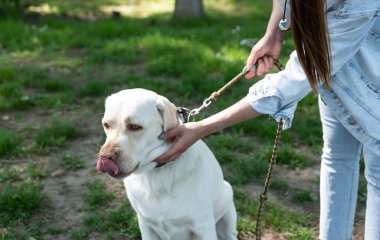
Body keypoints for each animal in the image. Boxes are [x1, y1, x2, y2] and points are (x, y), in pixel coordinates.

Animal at [96, 89, 236, 239]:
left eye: (135, 126)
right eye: (106, 125)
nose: (104, 158)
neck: (156, 175)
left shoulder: (204, 226)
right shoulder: (145, 224)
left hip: (228, 203)